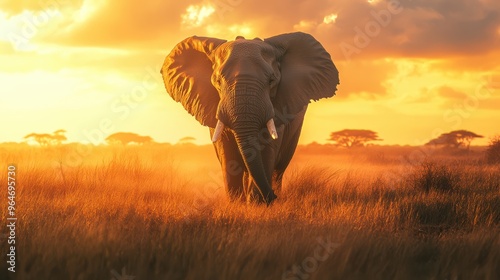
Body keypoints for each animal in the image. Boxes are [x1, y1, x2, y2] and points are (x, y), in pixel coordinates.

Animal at [160, 31, 340, 205]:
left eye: (272, 80)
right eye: (217, 81)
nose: (273, 197)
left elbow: (266, 148)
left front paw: (256, 205)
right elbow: (227, 154)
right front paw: (237, 205)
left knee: (279, 167)